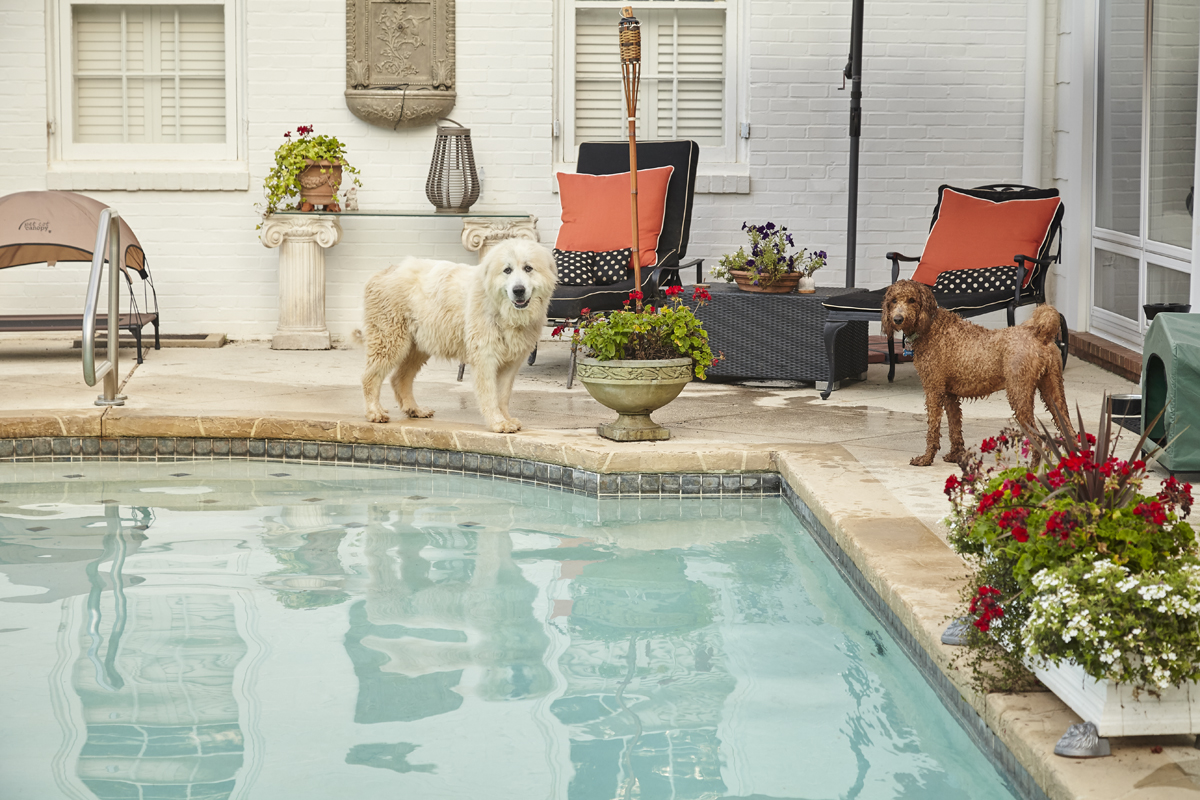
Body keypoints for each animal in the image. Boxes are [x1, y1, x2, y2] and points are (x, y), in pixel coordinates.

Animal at [355, 239, 556, 434]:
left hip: (419, 346)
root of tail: (382, 272)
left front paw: (506, 419)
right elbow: (490, 395)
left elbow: (503, 395)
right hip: (389, 340)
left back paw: (415, 409)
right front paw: (498, 423)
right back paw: (374, 412)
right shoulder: (485, 357)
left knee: (399, 378)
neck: (502, 311)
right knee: (370, 377)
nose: (518, 290)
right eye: (507, 270)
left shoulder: (511, 363)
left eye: (528, 268)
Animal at [883, 281, 1080, 470]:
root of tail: (1039, 334)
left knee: (1037, 438)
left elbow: (933, 428)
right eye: (894, 300)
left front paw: (926, 459)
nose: (897, 319)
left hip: (1019, 393)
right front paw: (955, 456)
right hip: (1053, 390)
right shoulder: (950, 395)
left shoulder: (933, 390)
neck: (930, 326)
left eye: (912, 300)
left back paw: (1032, 471)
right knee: (1070, 433)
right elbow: (955, 428)